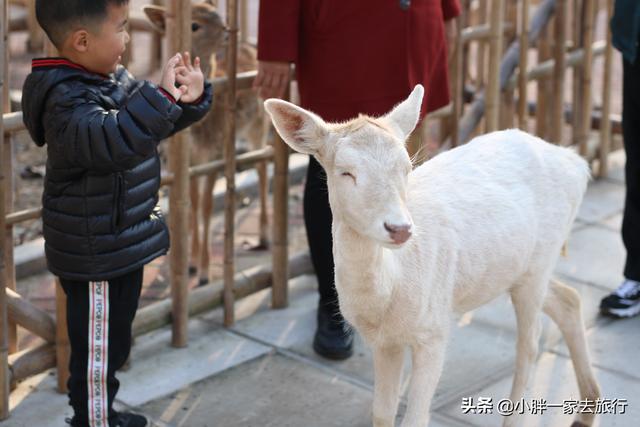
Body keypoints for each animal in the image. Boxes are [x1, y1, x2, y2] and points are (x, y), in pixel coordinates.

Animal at [144, 0, 270, 288]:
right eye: (193, 24)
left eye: (217, 15)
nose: (228, 30)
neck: (200, 134)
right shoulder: (190, 161)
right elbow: (191, 204)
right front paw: (190, 264)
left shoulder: (214, 153)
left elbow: (205, 207)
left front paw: (203, 273)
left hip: (259, 124)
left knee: (262, 165)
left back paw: (264, 236)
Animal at [264, 87, 600, 427]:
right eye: (346, 172)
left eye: (407, 167)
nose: (399, 228)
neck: (388, 296)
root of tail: (577, 163)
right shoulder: (385, 343)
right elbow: (382, 413)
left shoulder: (434, 331)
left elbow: (415, 418)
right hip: (520, 269)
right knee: (568, 298)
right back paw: (587, 407)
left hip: (540, 261)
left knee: (529, 343)